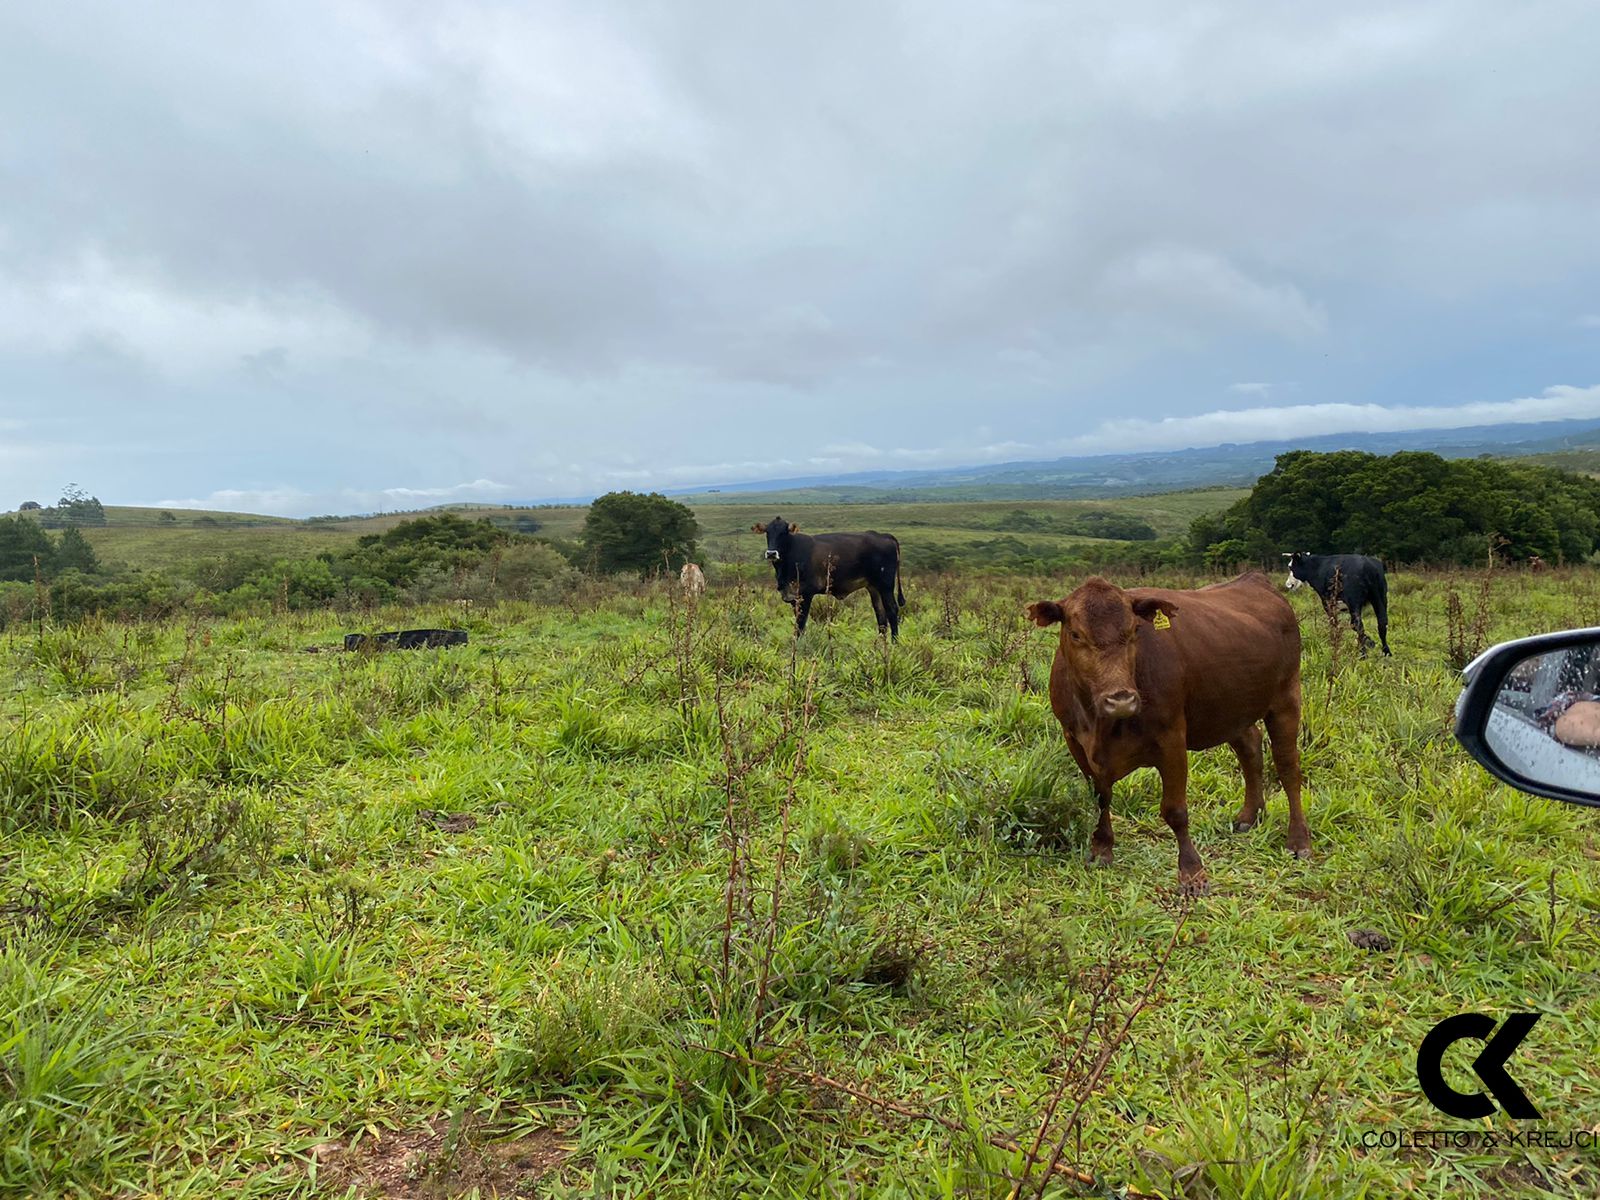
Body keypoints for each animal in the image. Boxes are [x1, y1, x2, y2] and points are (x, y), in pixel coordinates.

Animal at [745, 521, 902, 643]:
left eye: (784, 532)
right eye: (767, 532)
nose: (771, 553)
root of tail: (884, 536)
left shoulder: (806, 594)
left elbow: (801, 624)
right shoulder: (793, 597)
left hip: (886, 585)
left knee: (892, 610)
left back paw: (894, 643)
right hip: (874, 587)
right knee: (880, 614)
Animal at [1030, 572, 1305, 896]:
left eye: (1135, 631)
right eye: (1075, 635)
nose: (1121, 699)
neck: (1101, 724)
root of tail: (1255, 579)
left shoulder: (1172, 738)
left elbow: (1175, 811)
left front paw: (1192, 871)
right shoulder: (1074, 739)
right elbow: (1100, 797)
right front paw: (1101, 848)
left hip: (1286, 699)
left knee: (1288, 769)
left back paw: (1299, 839)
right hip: (1230, 708)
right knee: (1250, 747)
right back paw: (1250, 816)